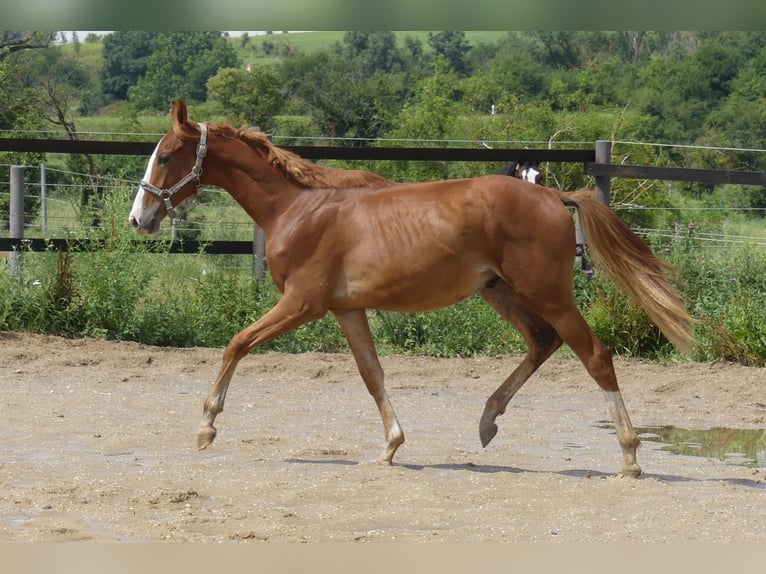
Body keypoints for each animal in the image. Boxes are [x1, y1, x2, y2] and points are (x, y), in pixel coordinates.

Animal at [129, 100, 694, 477]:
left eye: (166, 155)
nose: (139, 218)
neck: (299, 209)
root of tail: (555, 196)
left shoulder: (302, 304)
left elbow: (237, 343)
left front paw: (207, 427)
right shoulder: (346, 309)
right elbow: (372, 374)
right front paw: (390, 448)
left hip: (546, 293)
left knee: (594, 354)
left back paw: (629, 457)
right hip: (501, 291)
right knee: (542, 342)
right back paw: (487, 421)